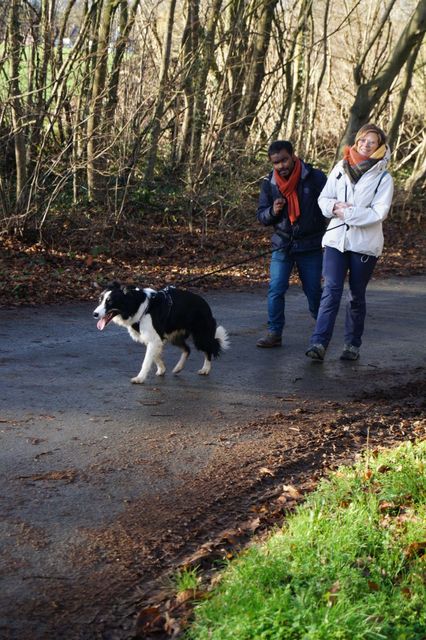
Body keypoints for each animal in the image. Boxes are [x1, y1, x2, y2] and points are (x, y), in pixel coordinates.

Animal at [91, 282, 228, 382]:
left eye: (110, 301)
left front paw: (140, 378)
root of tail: (205, 305)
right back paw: (178, 368)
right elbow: (155, 356)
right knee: (187, 349)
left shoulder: (154, 338)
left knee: (209, 350)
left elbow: (146, 361)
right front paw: (162, 369)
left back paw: (205, 369)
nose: (94, 314)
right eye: (100, 300)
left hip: (201, 336)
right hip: (175, 337)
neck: (136, 305)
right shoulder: (154, 338)